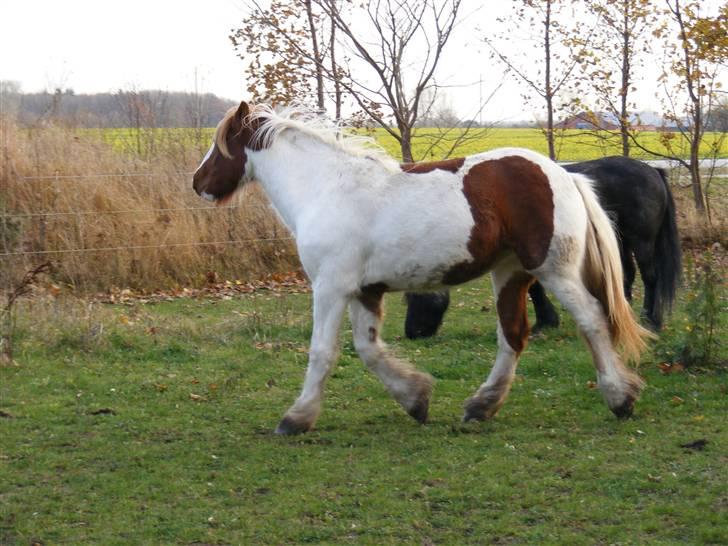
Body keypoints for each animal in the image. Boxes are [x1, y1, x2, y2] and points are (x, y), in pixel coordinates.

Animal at [191, 101, 652, 434]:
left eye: (221, 144)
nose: (198, 184)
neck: (326, 189)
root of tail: (564, 175)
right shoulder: (364, 290)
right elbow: (369, 350)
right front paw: (416, 399)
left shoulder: (330, 287)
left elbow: (322, 351)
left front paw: (296, 418)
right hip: (510, 273)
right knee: (513, 335)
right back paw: (481, 407)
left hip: (554, 271)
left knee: (591, 320)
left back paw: (620, 398)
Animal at [404, 155, 684, 338]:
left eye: (414, 295)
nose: (411, 333)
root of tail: (652, 170)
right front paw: (547, 320)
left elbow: (534, 288)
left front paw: (544, 322)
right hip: (619, 239)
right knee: (625, 275)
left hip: (641, 240)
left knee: (649, 277)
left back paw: (651, 320)